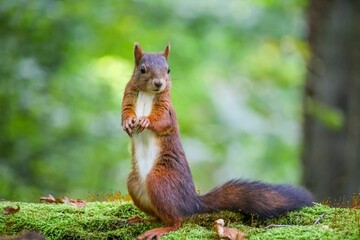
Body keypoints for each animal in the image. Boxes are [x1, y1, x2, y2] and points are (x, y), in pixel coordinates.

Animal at [121, 43, 312, 240]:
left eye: (168, 70)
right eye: (142, 69)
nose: (159, 84)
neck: (147, 94)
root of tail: (192, 202)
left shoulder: (167, 109)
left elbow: (161, 121)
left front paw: (146, 120)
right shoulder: (127, 98)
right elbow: (125, 113)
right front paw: (128, 122)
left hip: (159, 181)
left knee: (176, 221)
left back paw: (158, 229)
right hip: (134, 184)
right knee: (161, 216)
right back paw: (142, 219)